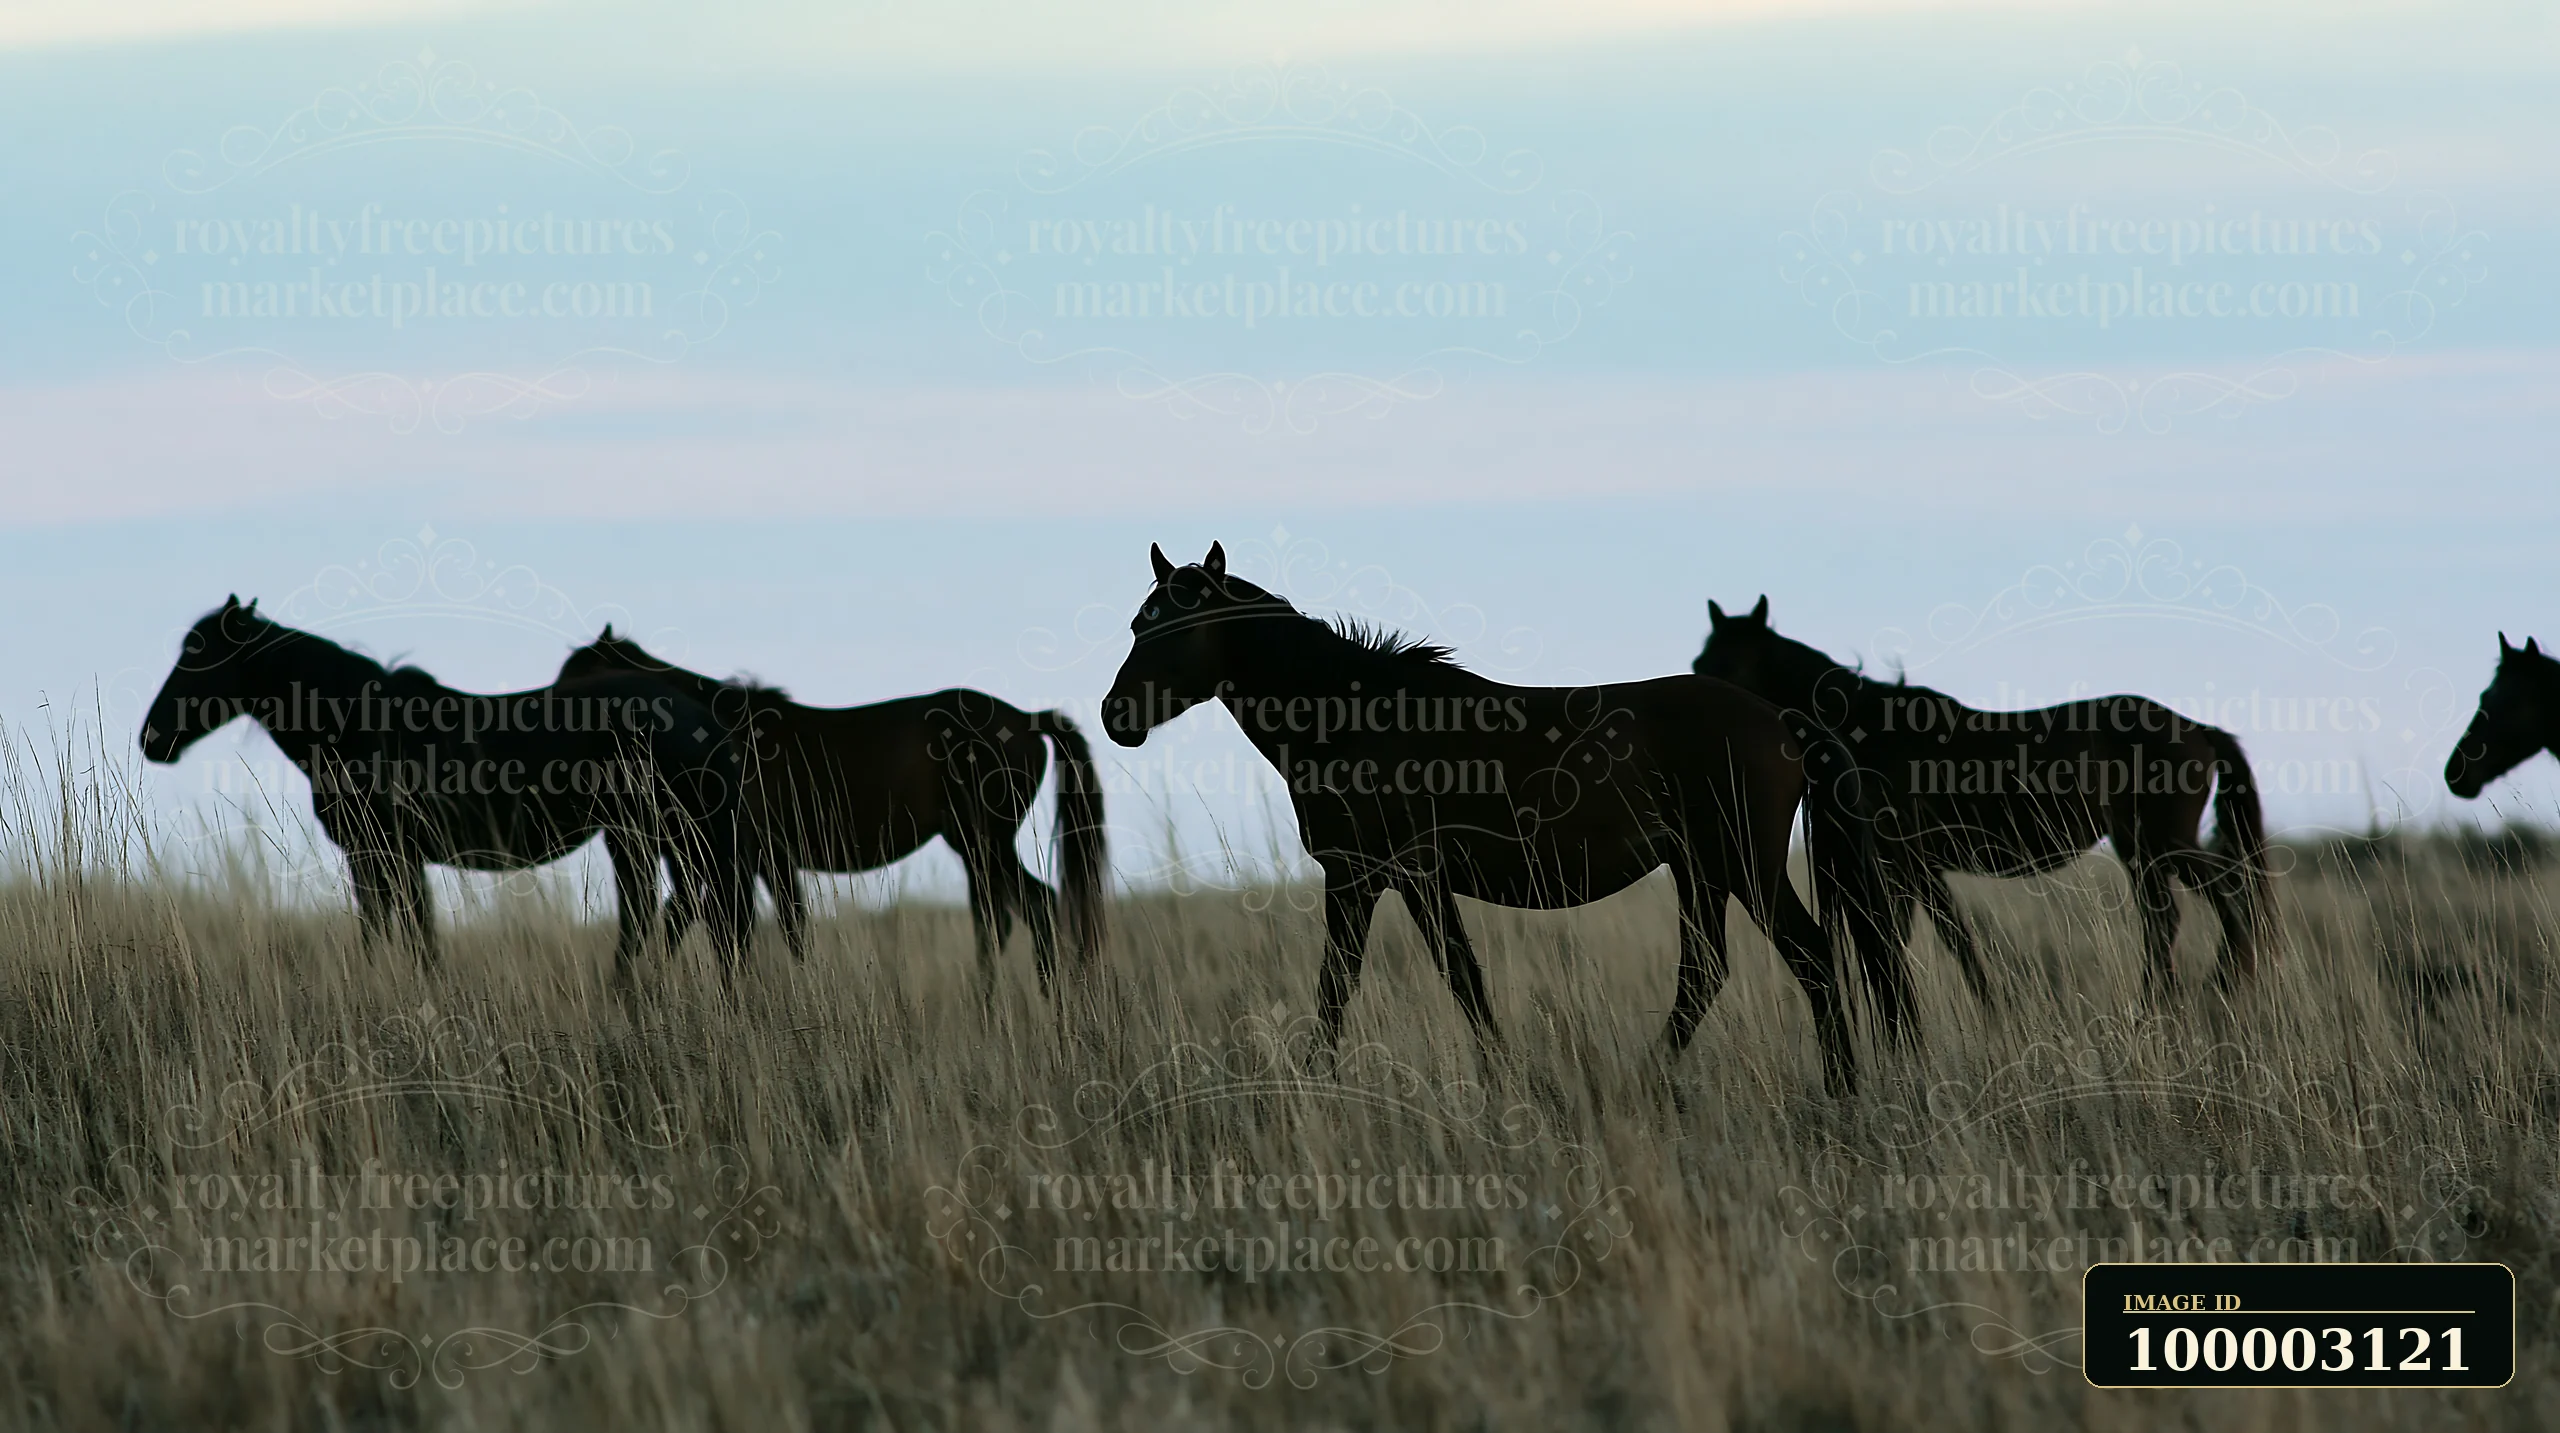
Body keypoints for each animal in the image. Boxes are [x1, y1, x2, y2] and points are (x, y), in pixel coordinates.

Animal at [140, 597, 756, 985]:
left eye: (200, 655)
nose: (153, 737)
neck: (360, 722)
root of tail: (702, 718)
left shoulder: (386, 854)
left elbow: (406, 937)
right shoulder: (385, 859)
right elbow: (401, 935)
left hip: (652, 837)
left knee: (675, 915)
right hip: (659, 841)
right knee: (683, 913)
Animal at [556, 626, 1107, 992]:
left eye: (576, 684)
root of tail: (1028, 720)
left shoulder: (747, 853)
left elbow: (756, 927)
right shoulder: (759, 858)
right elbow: (775, 927)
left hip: (987, 841)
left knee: (1035, 908)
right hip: (974, 846)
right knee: (999, 921)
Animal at [1101, 543, 1905, 1097]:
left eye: (1176, 628)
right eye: (1138, 622)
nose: (1116, 716)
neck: (1356, 717)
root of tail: (1783, 720)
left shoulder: (1376, 877)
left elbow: (1371, 983)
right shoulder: (1392, 880)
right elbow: (1438, 978)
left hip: (1740, 865)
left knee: (1809, 960)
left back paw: (1833, 1089)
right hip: (1701, 871)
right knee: (1707, 973)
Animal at [1692, 595, 2274, 1003]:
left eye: (1734, 664)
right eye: (1700, 663)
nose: (1709, 722)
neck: (1867, 727)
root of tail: (2198, 729)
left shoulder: (1905, 862)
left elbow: (1933, 940)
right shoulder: (1915, 868)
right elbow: (1948, 940)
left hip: (2162, 842)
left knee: (2225, 896)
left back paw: (2216, 986)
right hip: (2141, 849)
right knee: (2168, 918)